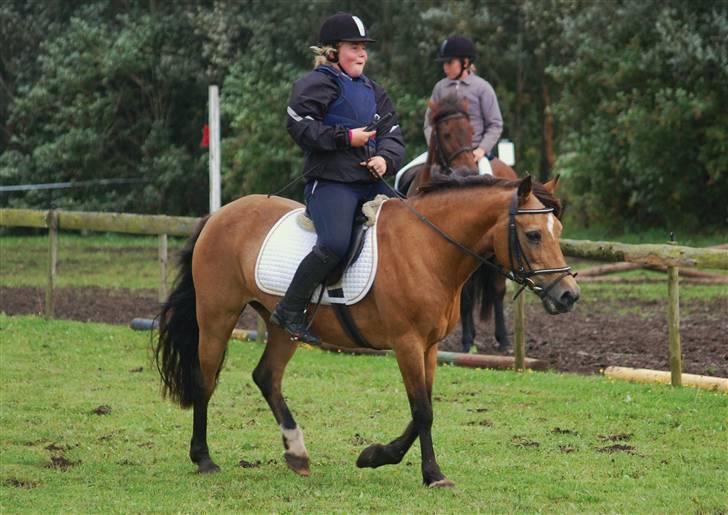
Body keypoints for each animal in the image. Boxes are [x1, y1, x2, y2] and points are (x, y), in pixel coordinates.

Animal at [155, 172, 580, 488]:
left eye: (558, 229)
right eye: (533, 234)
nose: (568, 296)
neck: (428, 248)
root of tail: (220, 214)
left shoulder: (429, 346)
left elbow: (422, 409)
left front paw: (375, 455)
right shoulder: (406, 343)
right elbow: (422, 411)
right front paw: (432, 474)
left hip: (284, 326)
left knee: (267, 377)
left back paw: (297, 453)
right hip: (217, 315)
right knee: (205, 379)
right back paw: (204, 458)